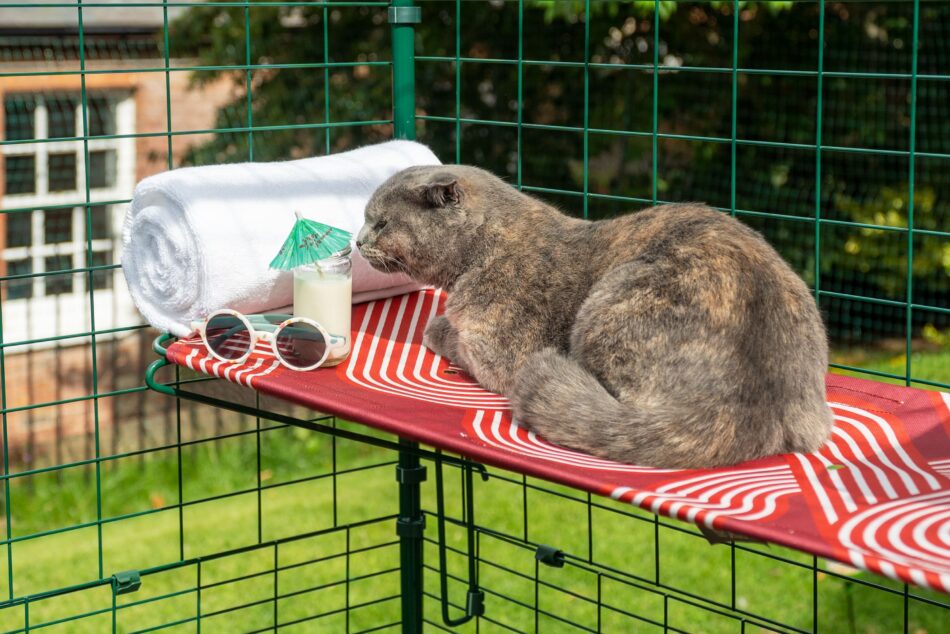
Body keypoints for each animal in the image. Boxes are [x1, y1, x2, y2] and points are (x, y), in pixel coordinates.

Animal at [356, 165, 832, 466]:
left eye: (380, 223)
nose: (358, 241)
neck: (484, 249)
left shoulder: (495, 352)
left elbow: (442, 330)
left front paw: (436, 326)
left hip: (612, 304)